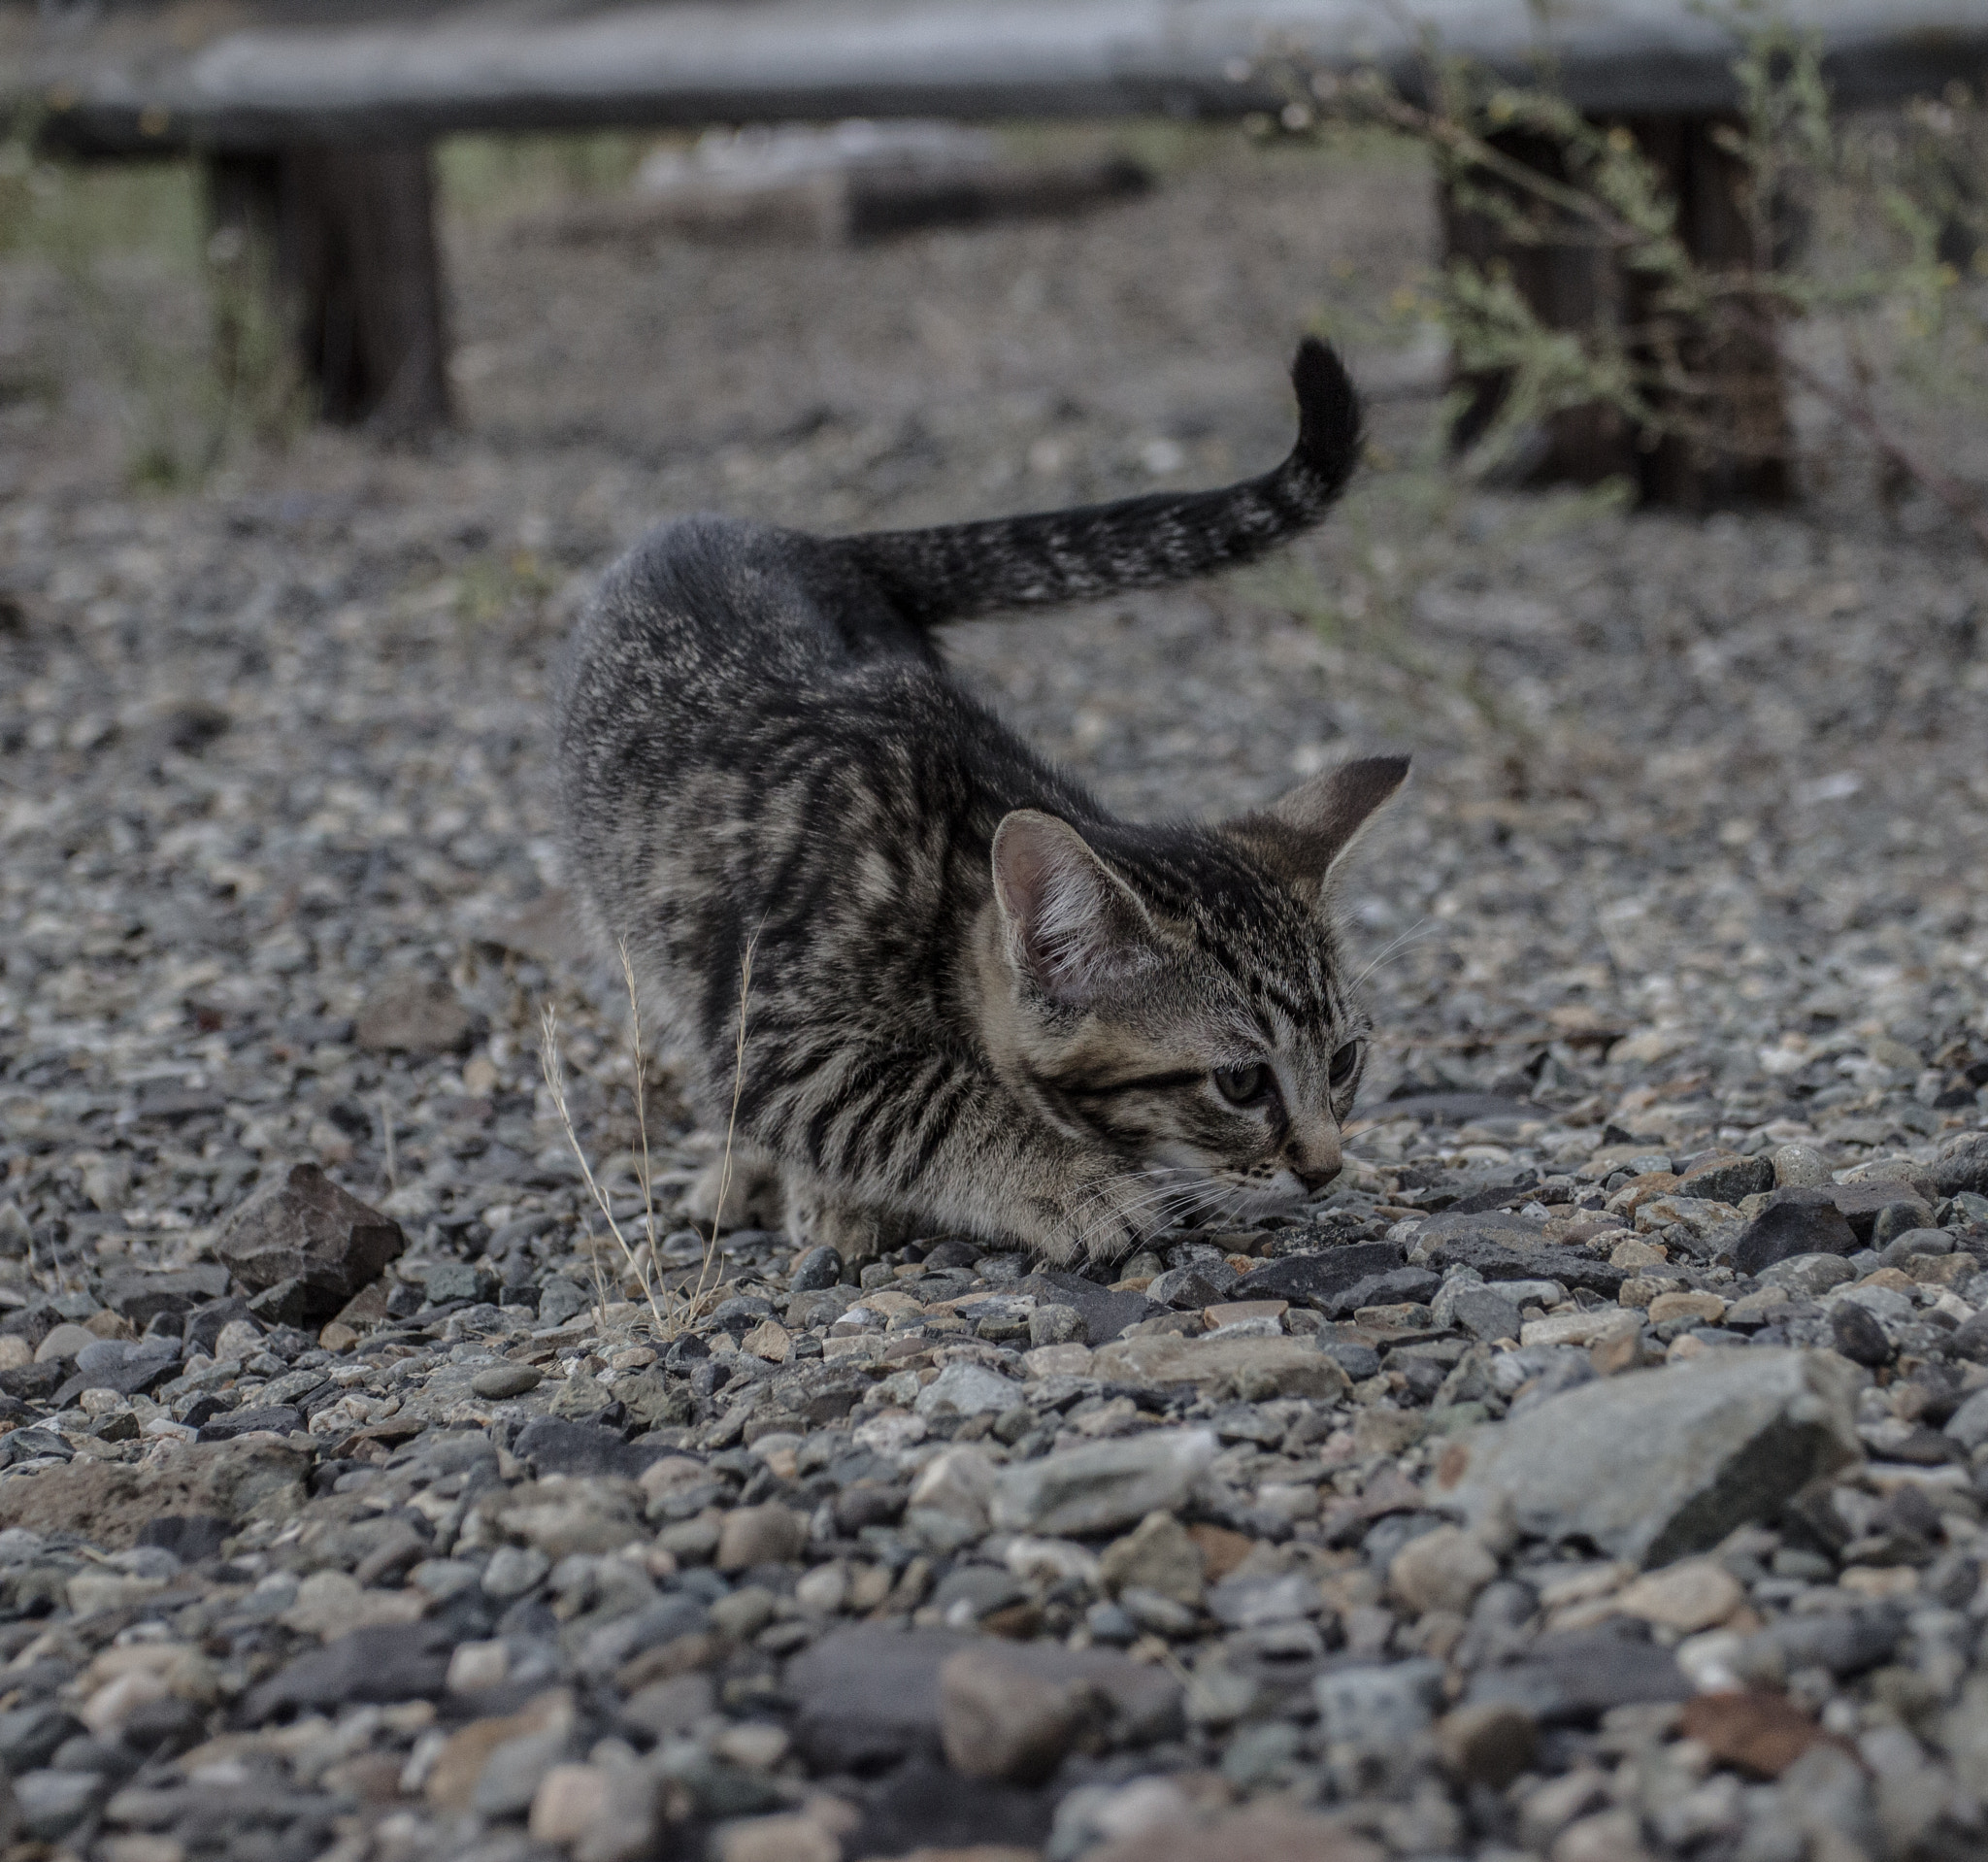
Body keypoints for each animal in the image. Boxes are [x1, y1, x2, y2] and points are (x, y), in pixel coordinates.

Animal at [552, 337, 1407, 1263]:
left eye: (1343, 1062)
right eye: (1242, 1082)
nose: (1325, 1168)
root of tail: (792, 537)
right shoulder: (780, 1034)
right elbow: (922, 1106)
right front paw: (1073, 1182)